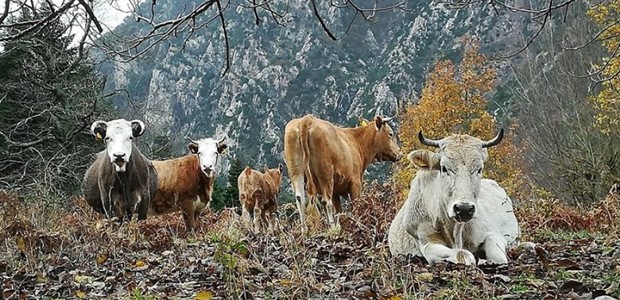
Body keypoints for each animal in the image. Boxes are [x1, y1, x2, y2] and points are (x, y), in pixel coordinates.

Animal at [390, 130, 520, 266]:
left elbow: (498, 256)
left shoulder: (494, 234)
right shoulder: (425, 241)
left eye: (479, 169)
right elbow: (463, 254)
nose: (464, 209)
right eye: (444, 168)